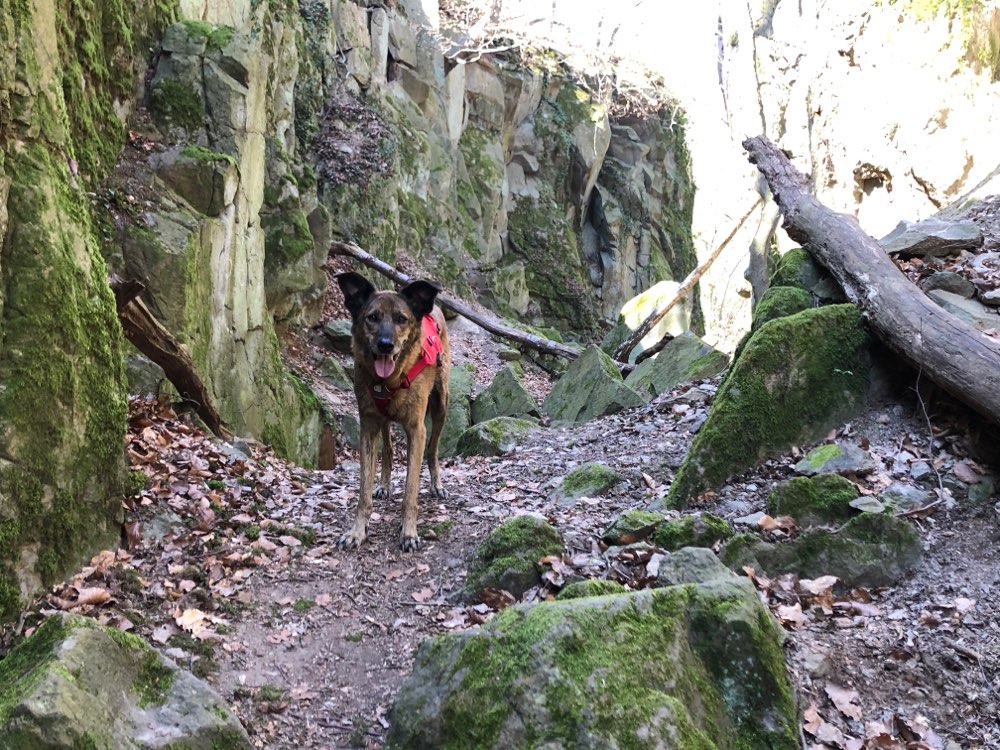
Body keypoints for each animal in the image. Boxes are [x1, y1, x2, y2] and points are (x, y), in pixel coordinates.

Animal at [336, 272, 450, 552]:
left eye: (401, 319)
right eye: (372, 317)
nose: (385, 345)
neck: (387, 381)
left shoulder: (417, 430)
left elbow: (410, 492)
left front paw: (408, 533)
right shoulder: (367, 426)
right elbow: (363, 490)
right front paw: (357, 531)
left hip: (441, 405)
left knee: (433, 449)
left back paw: (437, 484)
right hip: (383, 420)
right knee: (387, 450)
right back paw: (384, 485)